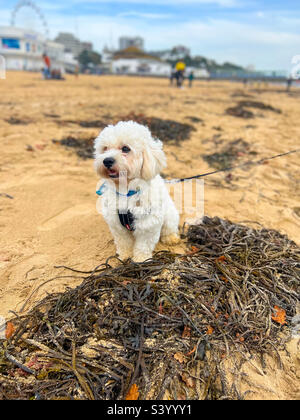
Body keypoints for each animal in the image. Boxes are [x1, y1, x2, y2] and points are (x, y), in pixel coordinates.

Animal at [94, 120, 178, 260]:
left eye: (125, 148)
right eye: (105, 148)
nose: (107, 160)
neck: (127, 191)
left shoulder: (148, 224)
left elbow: (143, 245)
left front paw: (141, 259)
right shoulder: (117, 225)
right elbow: (123, 242)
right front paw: (124, 255)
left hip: (169, 215)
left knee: (169, 228)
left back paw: (171, 238)